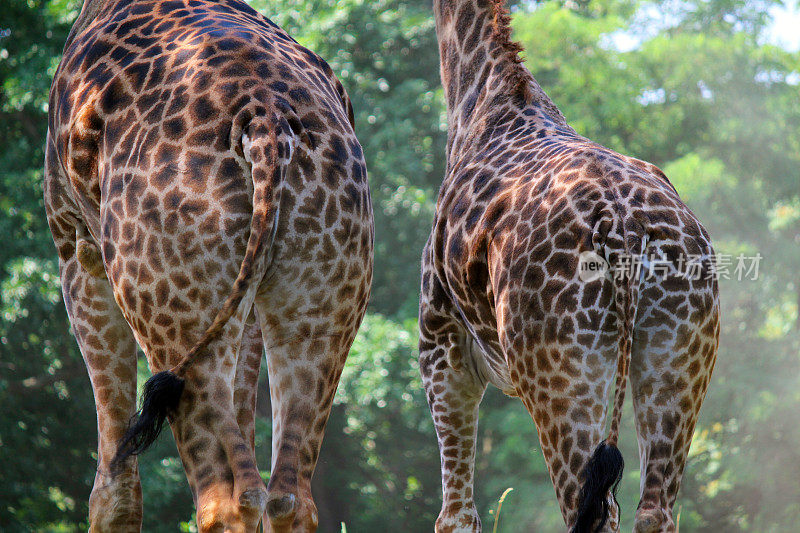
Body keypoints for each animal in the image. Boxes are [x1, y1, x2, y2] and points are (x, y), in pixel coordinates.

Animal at [45, 2, 376, 528]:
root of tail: (265, 120)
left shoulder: (77, 252)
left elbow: (113, 482)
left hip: (168, 305)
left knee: (223, 497)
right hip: (323, 299)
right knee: (285, 496)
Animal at [422, 2, 720, 528]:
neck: (480, 100)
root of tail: (622, 229)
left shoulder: (442, 352)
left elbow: (455, 517)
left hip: (561, 377)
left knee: (589, 511)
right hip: (677, 358)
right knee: (652, 510)